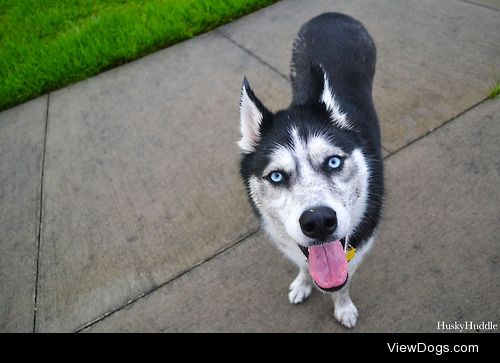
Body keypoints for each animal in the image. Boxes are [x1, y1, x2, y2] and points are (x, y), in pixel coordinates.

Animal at [237, 13, 382, 330]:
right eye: (276, 176)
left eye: (333, 162)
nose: (318, 222)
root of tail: (331, 15)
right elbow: (304, 264)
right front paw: (303, 284)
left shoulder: (359, 249)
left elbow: (343, 283)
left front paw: (343, 307)